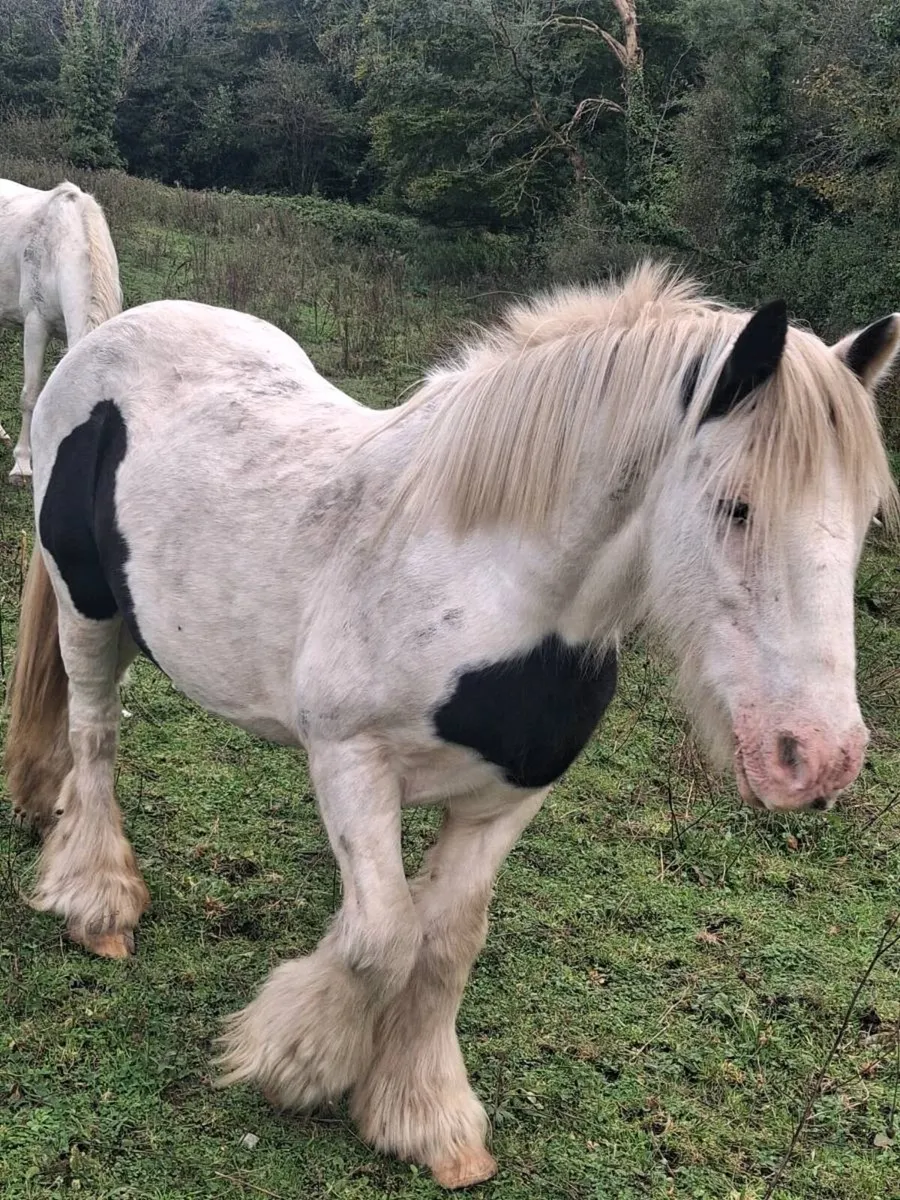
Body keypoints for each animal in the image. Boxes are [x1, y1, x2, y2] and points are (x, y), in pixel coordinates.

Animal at [5, 264, 899, 1189]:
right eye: (736, 507)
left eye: (868, 516)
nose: (819, 759)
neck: (486, 584)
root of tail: (108, 339)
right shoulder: (350, 763)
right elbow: (384, 939)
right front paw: (295, 1061)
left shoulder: (506, 799)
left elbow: (445, 947)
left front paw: (425, 1118)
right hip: (86, 610)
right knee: (95, 738)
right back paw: (98, 903)